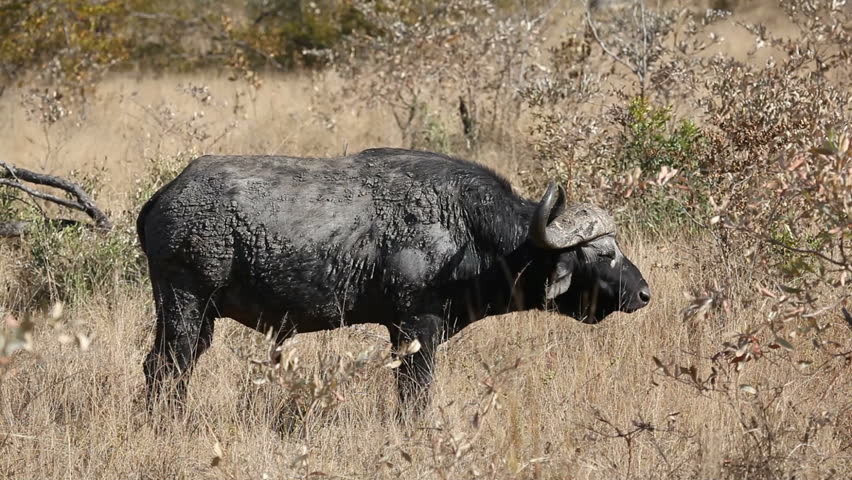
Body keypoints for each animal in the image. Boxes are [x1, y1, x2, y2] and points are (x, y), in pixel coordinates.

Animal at [137, 148, 650, 415]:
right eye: (606, 253)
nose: (644, 293)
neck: (468, 229)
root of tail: (165, 196)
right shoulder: (416, 329)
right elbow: (414, 396)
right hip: (186, 306)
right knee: (169, 369)